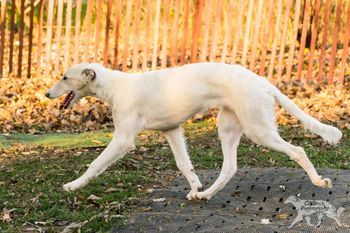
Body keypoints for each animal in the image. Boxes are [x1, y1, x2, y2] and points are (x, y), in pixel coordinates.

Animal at [44, 63, 342, 200]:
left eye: (64, 77)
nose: (46, 94)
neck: (116, 86)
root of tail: (263, 81)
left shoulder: (123, 139)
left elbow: (95, 164)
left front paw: (73, 185)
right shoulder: (172, 130)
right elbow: (183, 164)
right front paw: (195, 185)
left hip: (258, 129)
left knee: (298, 150)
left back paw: (319, 182)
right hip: (229, 128)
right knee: (229, 168)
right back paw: (205, 194)